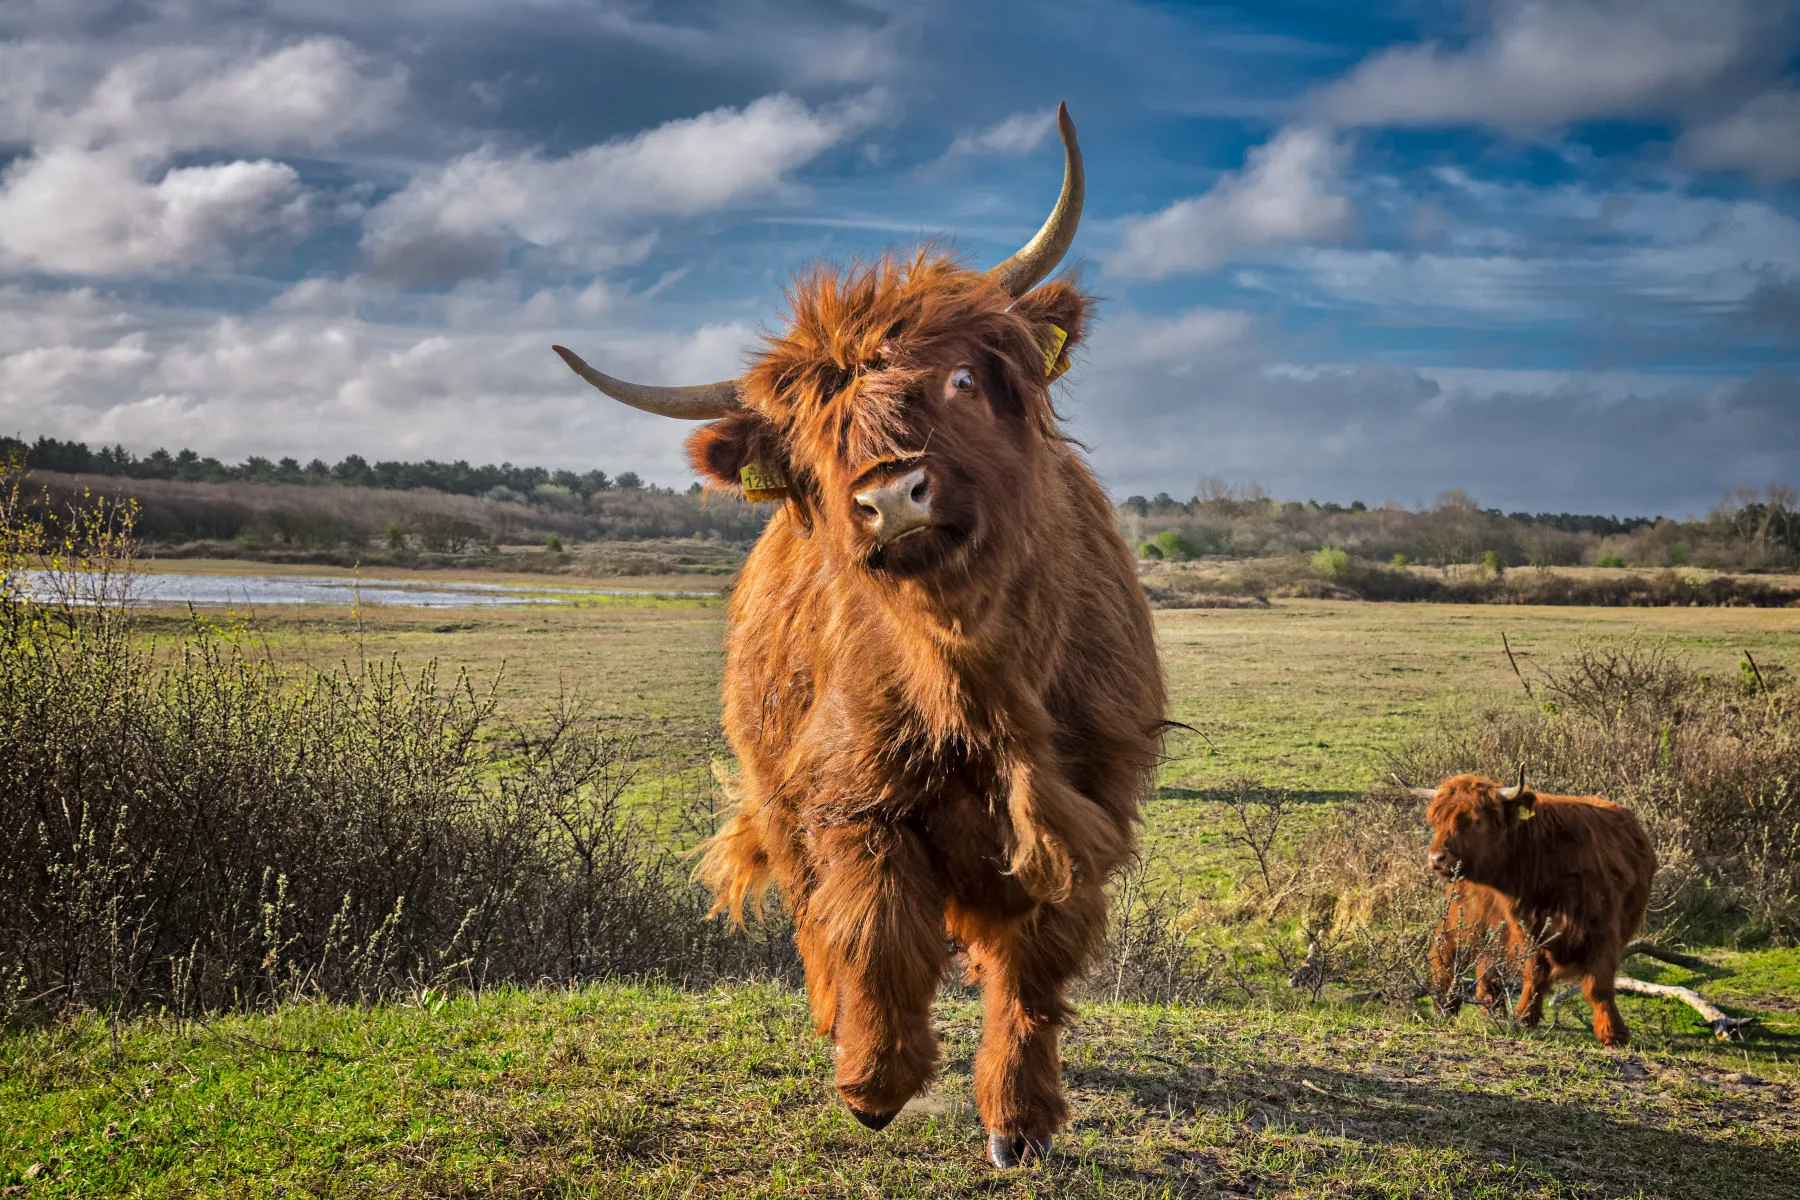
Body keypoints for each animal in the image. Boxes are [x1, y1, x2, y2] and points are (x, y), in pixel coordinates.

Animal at [550, 107, 1166, 1165]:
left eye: (961, 378)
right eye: (817, 440)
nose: (892, 497)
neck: (978, 672)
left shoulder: (1087, 800)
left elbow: (1034, 962)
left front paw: (1018, 1119)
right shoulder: (854, 795)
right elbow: (875, 930)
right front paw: (876, 1081)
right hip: (773, 783)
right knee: (815, 917)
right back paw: (840, 1028)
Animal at [1411, 773, 1648, 1043]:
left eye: (1475, 820)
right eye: (1436, 821)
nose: (1436, 859)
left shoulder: (1603, 933)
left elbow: (1598, 985)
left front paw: (1612, 1033)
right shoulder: (1528, 928)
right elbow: (1534, 972)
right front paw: (1524, 1017)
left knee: (1485, 969)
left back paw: (1489, 1011)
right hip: (1461, 916)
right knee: (1447, 954)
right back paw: (1445, 1007)